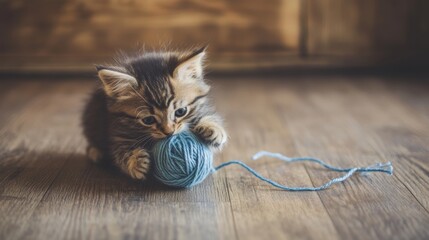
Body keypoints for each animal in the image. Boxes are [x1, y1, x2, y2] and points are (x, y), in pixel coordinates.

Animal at [81, 47, 227, 180]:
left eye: (180, 112)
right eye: (148, 120)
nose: (169, 132)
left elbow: (207, 116)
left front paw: (213, 129)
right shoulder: (116, 133)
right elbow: (119, 152)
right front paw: (135, 162)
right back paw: (96, 152)